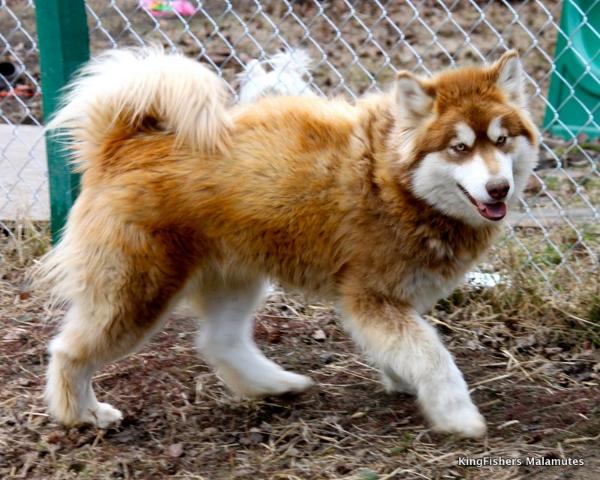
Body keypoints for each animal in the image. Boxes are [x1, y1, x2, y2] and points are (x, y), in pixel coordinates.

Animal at [38, 47, 540, 436]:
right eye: (459, 148)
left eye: (502, 139)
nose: (499, 189)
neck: (394, 181)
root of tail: (122, 144)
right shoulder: (371, 298)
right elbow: (434, 357)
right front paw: (457, 415)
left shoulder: (395, 302)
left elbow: (410, 350)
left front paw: (402, 380)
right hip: (137, 296)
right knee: (68, 351)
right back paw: (80, 413)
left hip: (234, 278)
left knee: (220, 343)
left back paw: (274, 385)